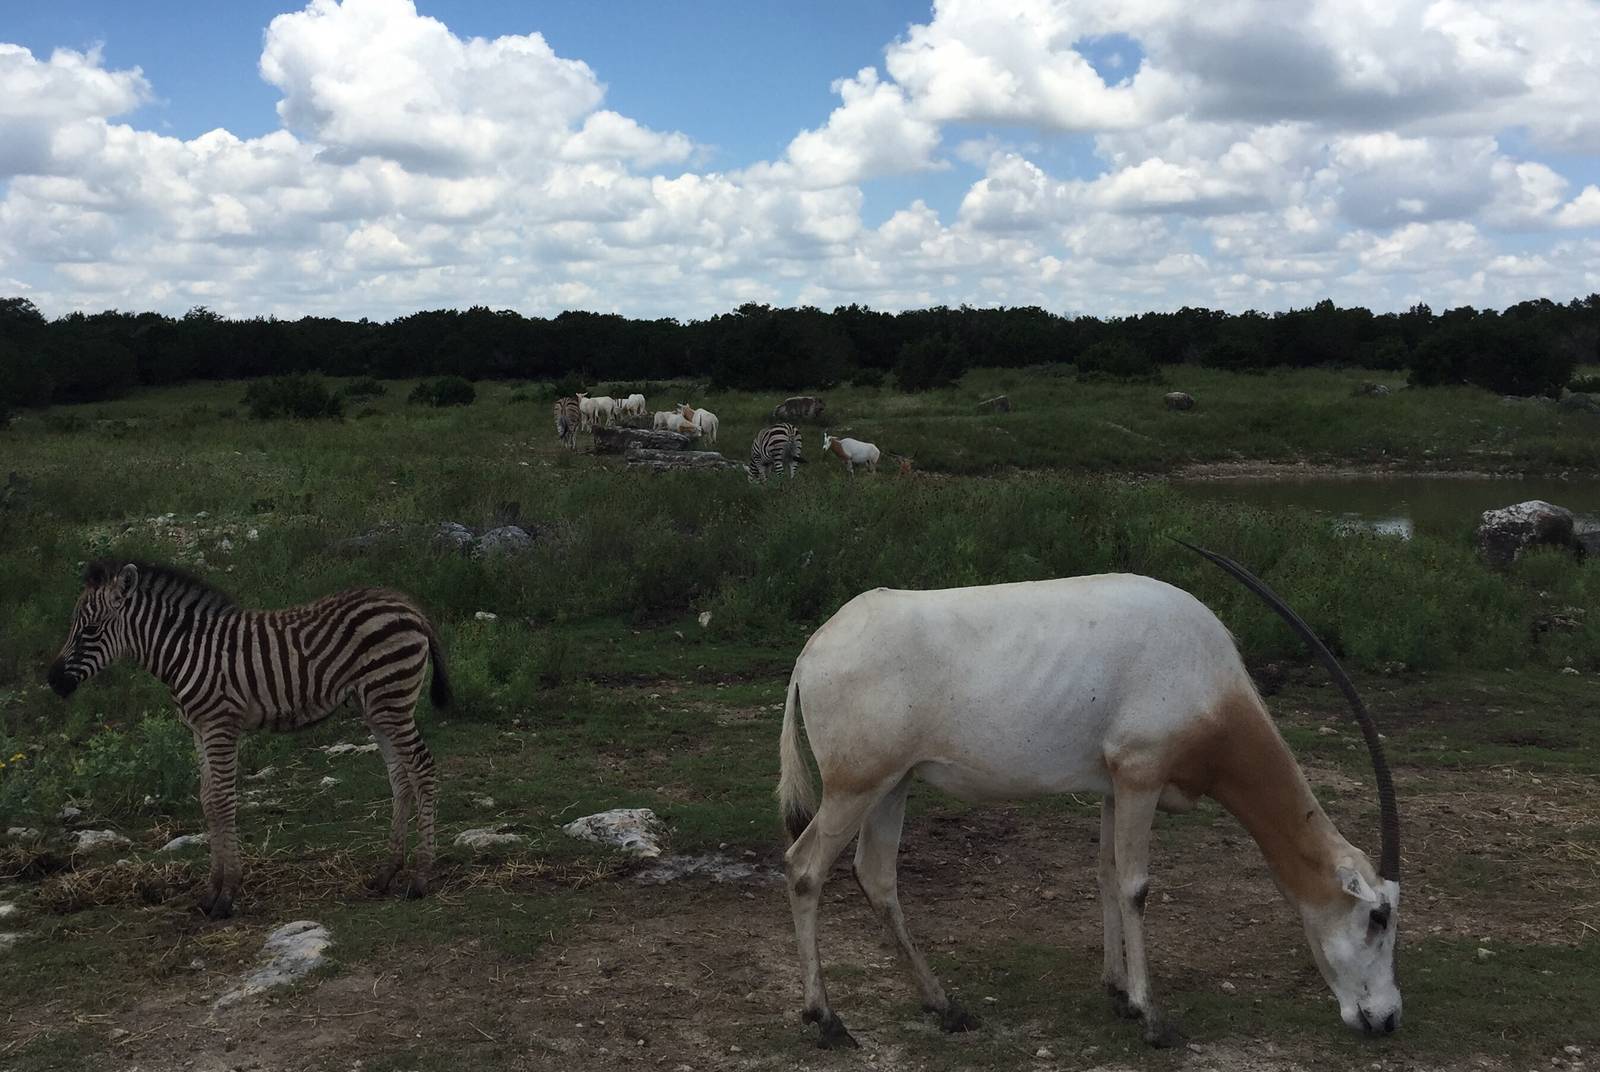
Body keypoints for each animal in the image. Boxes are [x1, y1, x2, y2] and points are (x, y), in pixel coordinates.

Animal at [47, 561, 450, 919]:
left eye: (90, 630)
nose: (52, 681)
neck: (184, 652)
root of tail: (406, 603)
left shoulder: (220, 725)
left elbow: (224, 802)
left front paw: (227, 896)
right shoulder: (198, 730)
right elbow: (208, 800)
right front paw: (210, 893)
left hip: (391, 698)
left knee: (422, 768)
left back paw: (421, 877)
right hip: (377, 708)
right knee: (400, 778)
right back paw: (386, 873)